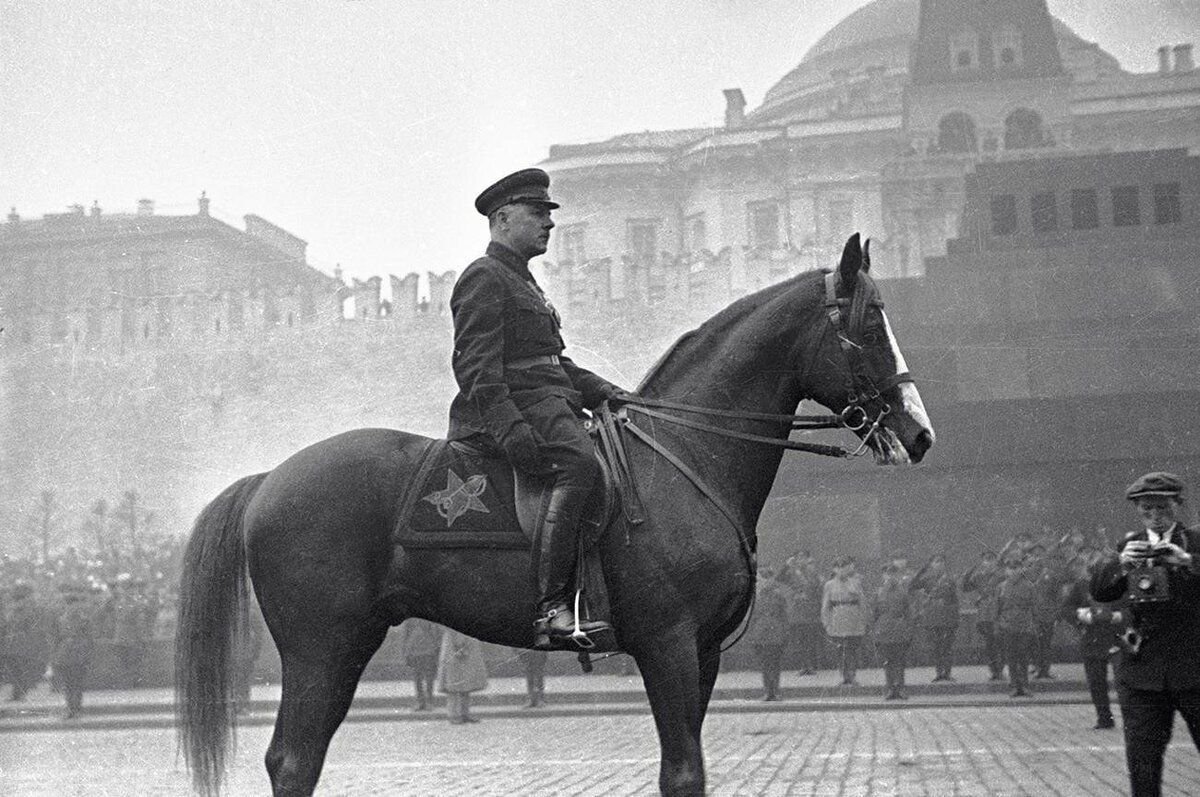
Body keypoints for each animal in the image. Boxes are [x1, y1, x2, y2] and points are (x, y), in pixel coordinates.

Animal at [174, 234, 931, 792]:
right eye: (870, 321)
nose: (920, 433)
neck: (686, 453)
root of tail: (271, 477)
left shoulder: (706, 651)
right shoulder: (668, 643)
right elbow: (683, 772)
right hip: (321, 649)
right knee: (293, 760)